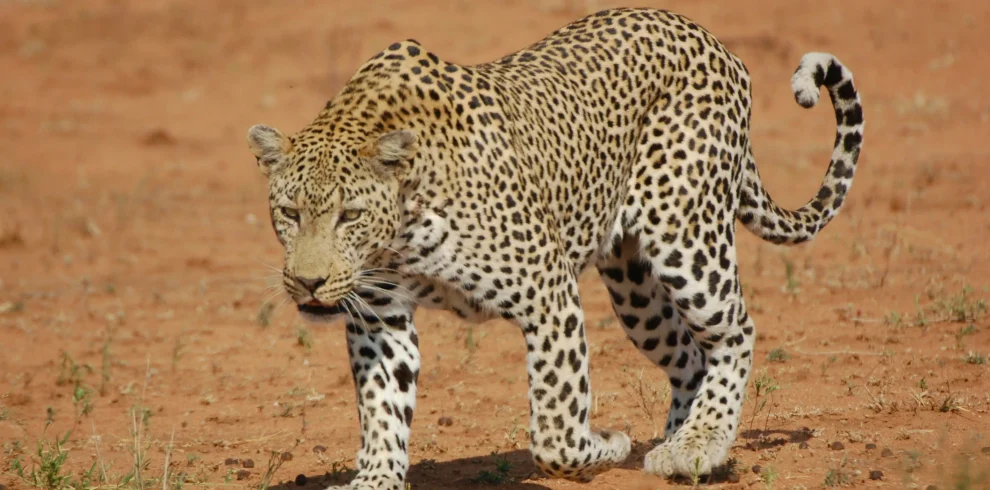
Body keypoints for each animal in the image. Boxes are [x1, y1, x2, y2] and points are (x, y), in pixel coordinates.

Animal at [245, 7, 863, 488]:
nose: (308, 283)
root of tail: (711, 40)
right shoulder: (379, 316)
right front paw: (375, 478)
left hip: (687, 239)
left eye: (349, 216)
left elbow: (556, 426)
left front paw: (605, 444)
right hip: (635, 291)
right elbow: (382, 408)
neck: (402, 227)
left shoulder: (548, 291)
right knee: (689, 356)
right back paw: (675, 442)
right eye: (289, 213)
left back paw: (699, 443)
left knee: (736, 332)